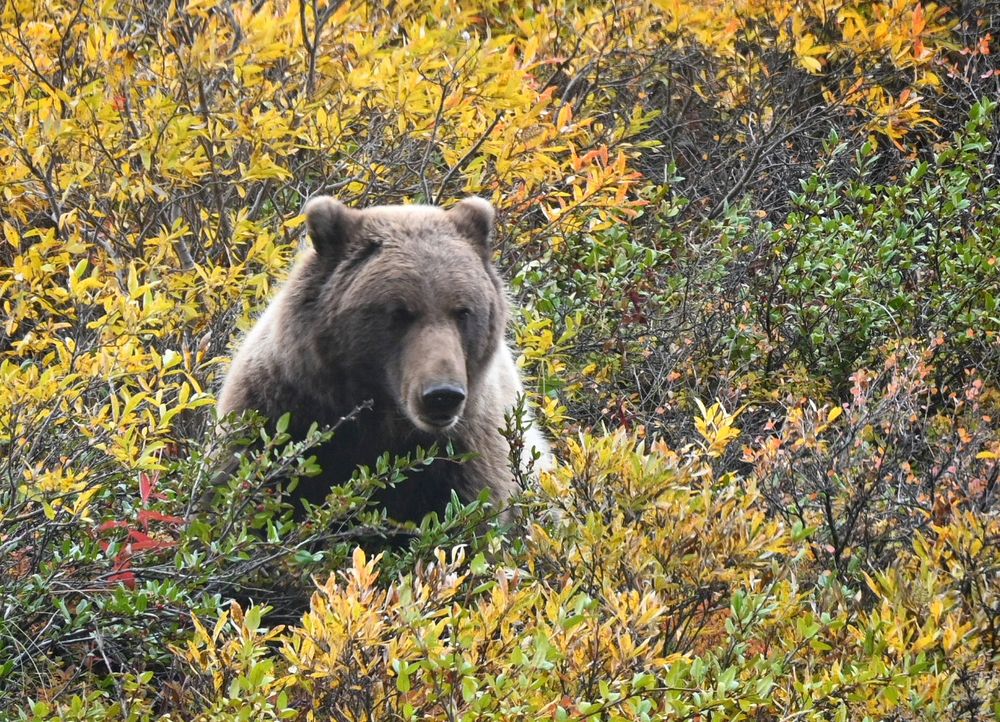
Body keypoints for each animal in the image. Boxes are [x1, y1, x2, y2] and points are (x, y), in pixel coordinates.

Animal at [215, 195, 552, 524]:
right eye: (399, 312)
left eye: (463, 310)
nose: (442, 395)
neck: (382, 423)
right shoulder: (277, 417)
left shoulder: (466, 459)